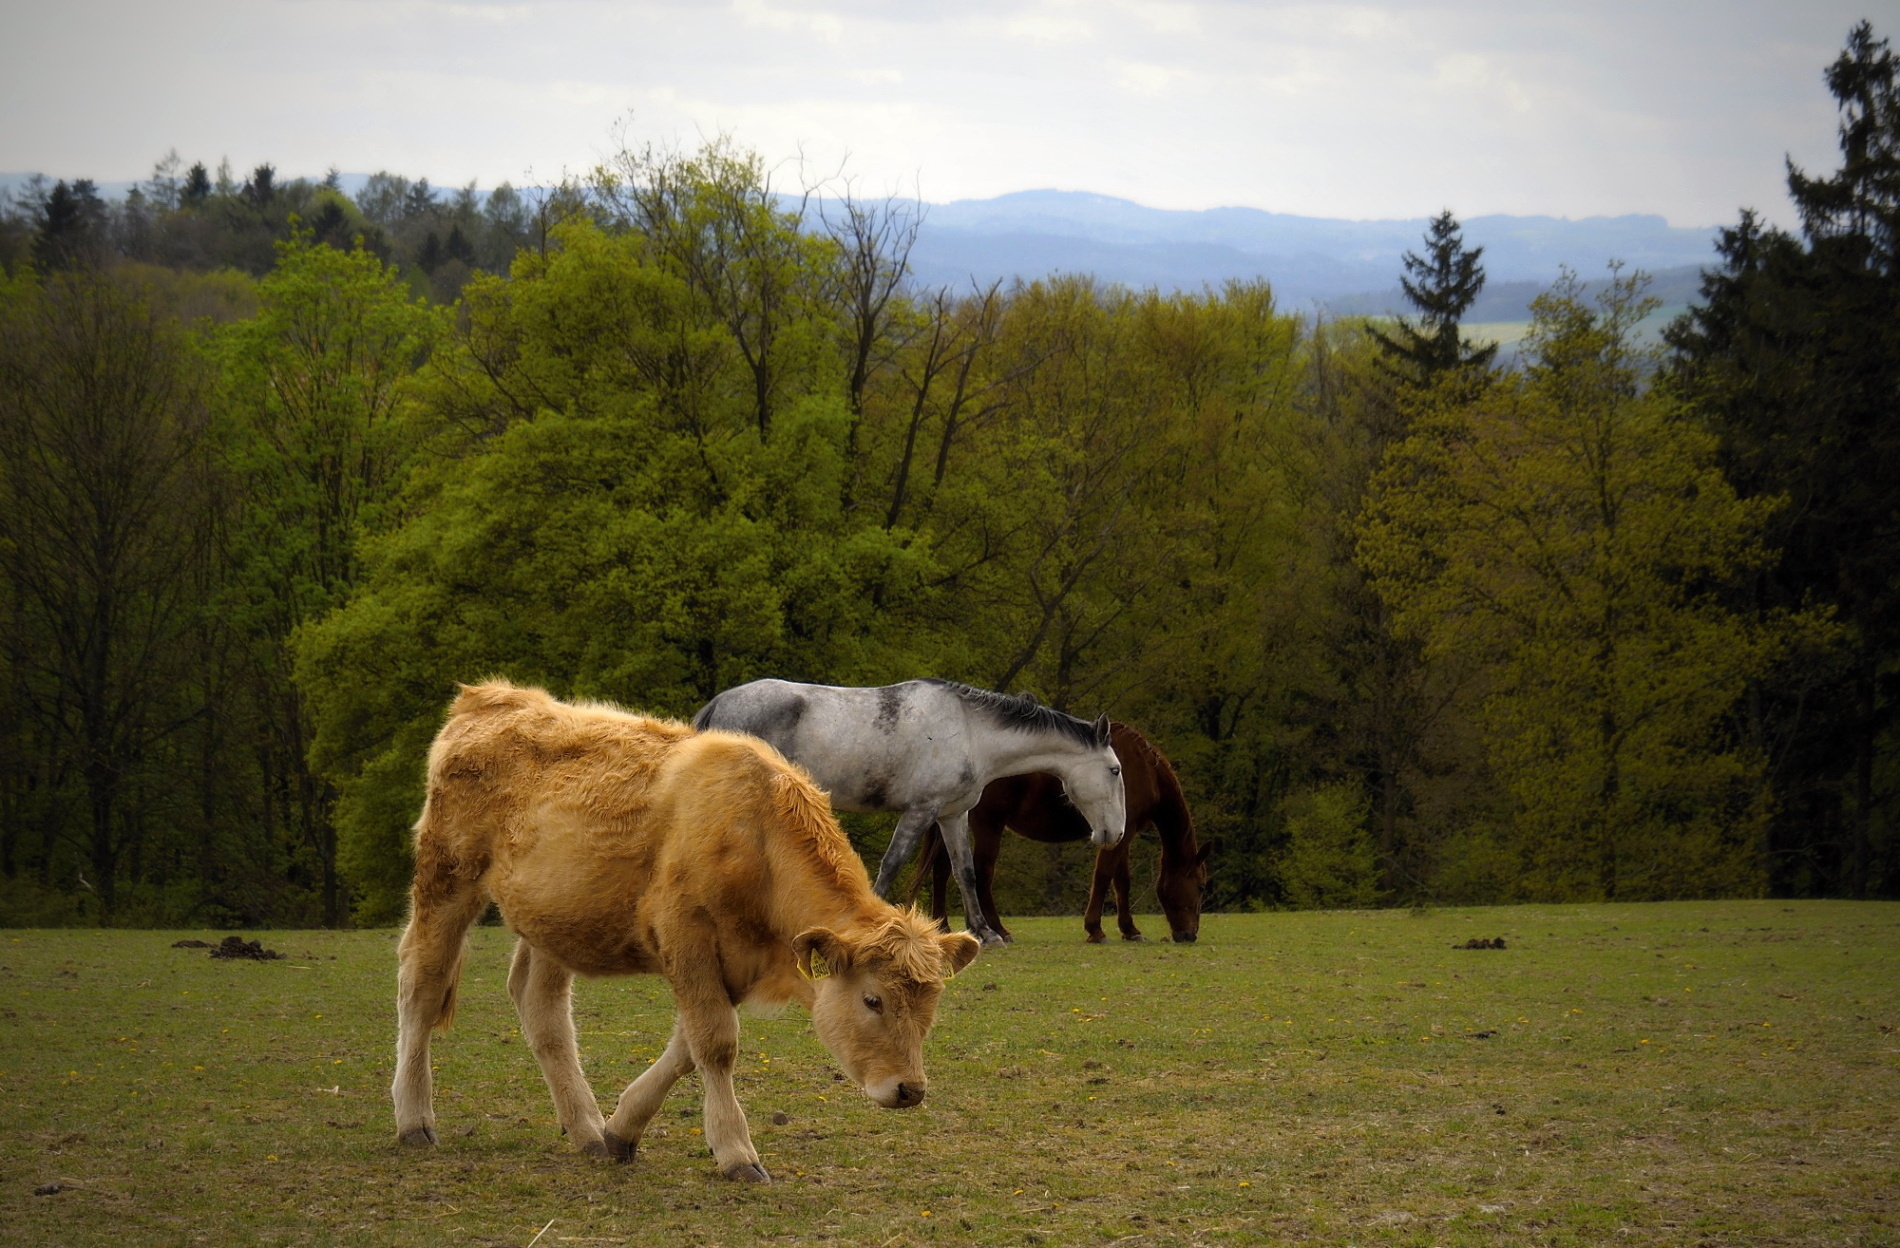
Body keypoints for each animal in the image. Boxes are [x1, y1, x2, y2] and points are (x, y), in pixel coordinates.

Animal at [387, 680, 980, 1177]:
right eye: (872, 1000)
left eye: (931, 1005)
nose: (909, 1089)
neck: (754, 835)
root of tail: (493, 697)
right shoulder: (686, 937)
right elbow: (714, 1043)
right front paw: (737, 1153)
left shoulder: (733, 960)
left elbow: (687, 1047)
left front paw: (621, 1130)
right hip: (447, 879)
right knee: (422, 985)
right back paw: (414, 1121)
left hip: (553, 918)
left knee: (542, 1009)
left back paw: (586, 1130)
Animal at [691, 680, 1117, 945]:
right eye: (1115, 769)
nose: (1112, 834)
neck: (970, 732)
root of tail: (719, 702)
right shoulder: (920, 811)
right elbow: (891, 864)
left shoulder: (951, 815)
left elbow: (965, 872)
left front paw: (984, 932)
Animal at [923, 714, 1216, 938]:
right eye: (1201, 887)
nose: (1189, 935)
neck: (1144, 767)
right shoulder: (1120, 833)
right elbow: (1103, 876)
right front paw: (1095, 929)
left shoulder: (1123, 832)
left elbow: (1122, 881)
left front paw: (1129, 930)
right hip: (989, 825)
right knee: (982, 872)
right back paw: (997, 928)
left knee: (942, 870)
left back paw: (942, 926)